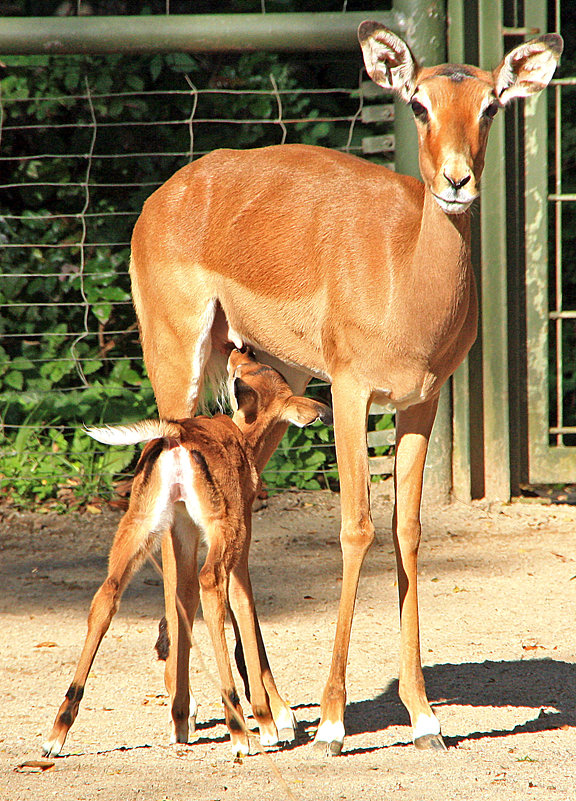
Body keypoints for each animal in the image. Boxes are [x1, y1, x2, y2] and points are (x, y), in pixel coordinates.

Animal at [41, 348, 332, 756]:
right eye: (244, 372)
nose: (240, 350)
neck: (242, 440)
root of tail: (177, 435)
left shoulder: (183, 533)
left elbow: (183, 599)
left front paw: (182, 718)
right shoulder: (238, 545)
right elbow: (243, 610)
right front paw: (269, 723)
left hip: (139, 527)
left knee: (108, 596)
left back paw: (57, 733)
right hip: (221, 535)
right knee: (211, 585)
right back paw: (239, 731)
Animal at [127, 21, 564, 752]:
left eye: (490, 105)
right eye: (417, 103)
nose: (457, 181)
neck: (404, 273)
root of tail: (168, 193)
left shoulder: (421, 401)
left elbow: (408, 530)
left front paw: (424, 717)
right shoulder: (352, 395)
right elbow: (357, 527)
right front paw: (333, 722)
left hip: (276, 386)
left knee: (239, 523)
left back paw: (273, 714)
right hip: (177, 369)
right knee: (172, 515)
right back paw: (186, 712)